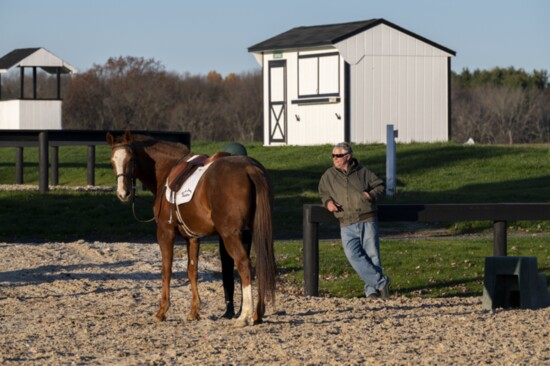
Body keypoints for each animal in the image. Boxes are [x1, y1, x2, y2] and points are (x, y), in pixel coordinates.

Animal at [108, 131, 278, 326]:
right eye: (112, 161)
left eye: (131, 159)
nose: (123, 193)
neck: (168, 171)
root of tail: (249, 168)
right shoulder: (192, 236)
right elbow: (192, 271)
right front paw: (194, 311)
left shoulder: (165, 232)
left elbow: (166, 270)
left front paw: (162, 311)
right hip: (254, 232)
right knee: (260, 265)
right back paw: (258, 313)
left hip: (231, 235)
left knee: (243, 264)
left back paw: (244, 316)